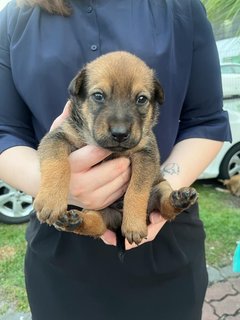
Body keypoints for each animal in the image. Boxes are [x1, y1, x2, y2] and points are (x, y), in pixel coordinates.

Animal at [34, 51, 199, 245]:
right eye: (98, 96)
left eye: (141, 99)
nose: (120, 134)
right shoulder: (58, 137)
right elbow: (56, 164)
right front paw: (50, 201)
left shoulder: (145, 153)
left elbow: (136, 190)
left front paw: (134, 225)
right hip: (98, 208)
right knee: (96, 224)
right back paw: (75, 221)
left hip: (160, 185)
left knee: (165, 207)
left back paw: (179, 199)